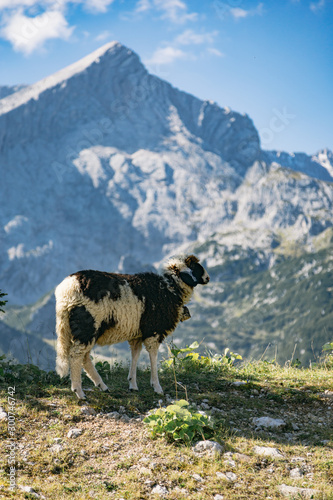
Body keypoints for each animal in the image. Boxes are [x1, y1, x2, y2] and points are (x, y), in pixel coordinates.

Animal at [55, 254, 209, 398]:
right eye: (195, 267)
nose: (207, 278)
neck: (171, 289)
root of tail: (66, 291)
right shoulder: (154, 331)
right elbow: (153, 356)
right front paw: (156, 386)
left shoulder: (137, 334)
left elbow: (135, 354)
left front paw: (133, 384)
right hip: (87, 325)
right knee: (76, 355)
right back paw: (79, 392)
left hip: (83, 330)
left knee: (84, 357)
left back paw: (102, 386)